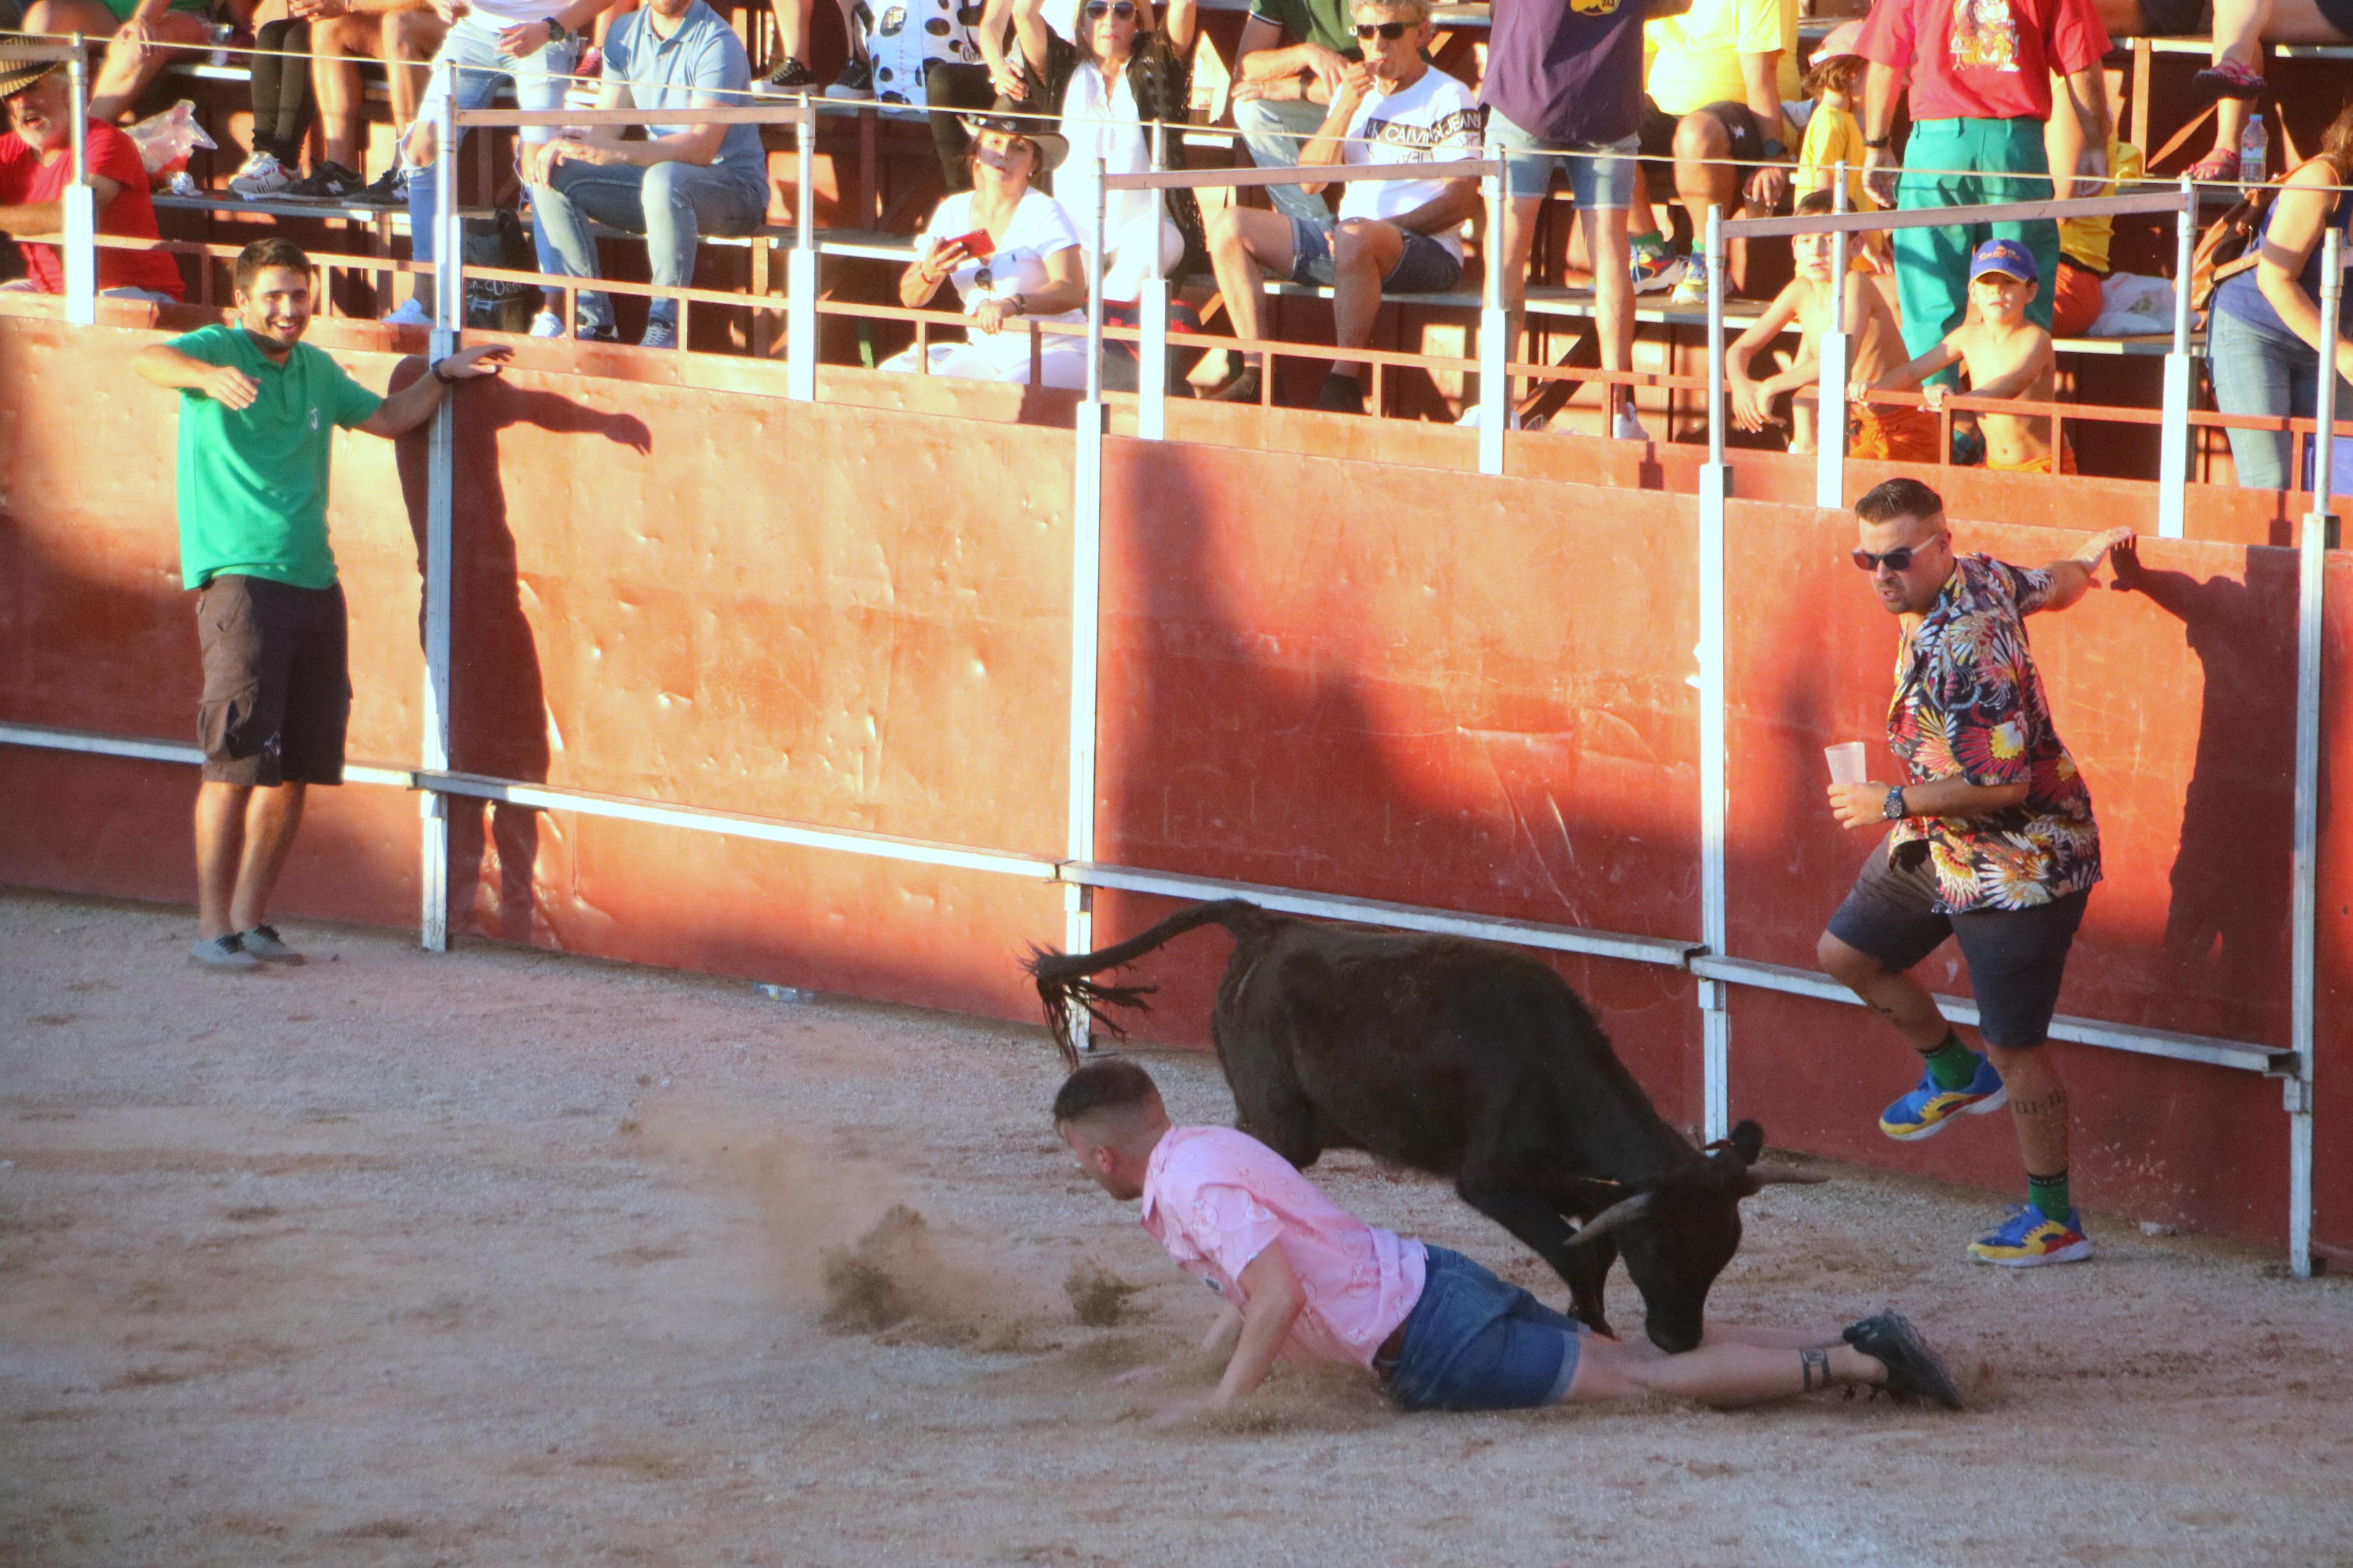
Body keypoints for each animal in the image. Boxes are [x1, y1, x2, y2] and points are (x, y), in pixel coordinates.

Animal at [1030, 902, 1816, 1354]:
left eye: (1719, 1253)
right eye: (1657, 1249)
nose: (1678, 1340)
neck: (1551, 1067)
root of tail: (1265, 925)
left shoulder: (1566, 1183)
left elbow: (1586, 1241)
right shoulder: (1488, 1181)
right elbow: (1582, 1252)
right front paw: (1589, 1323)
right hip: (1279, 1121)